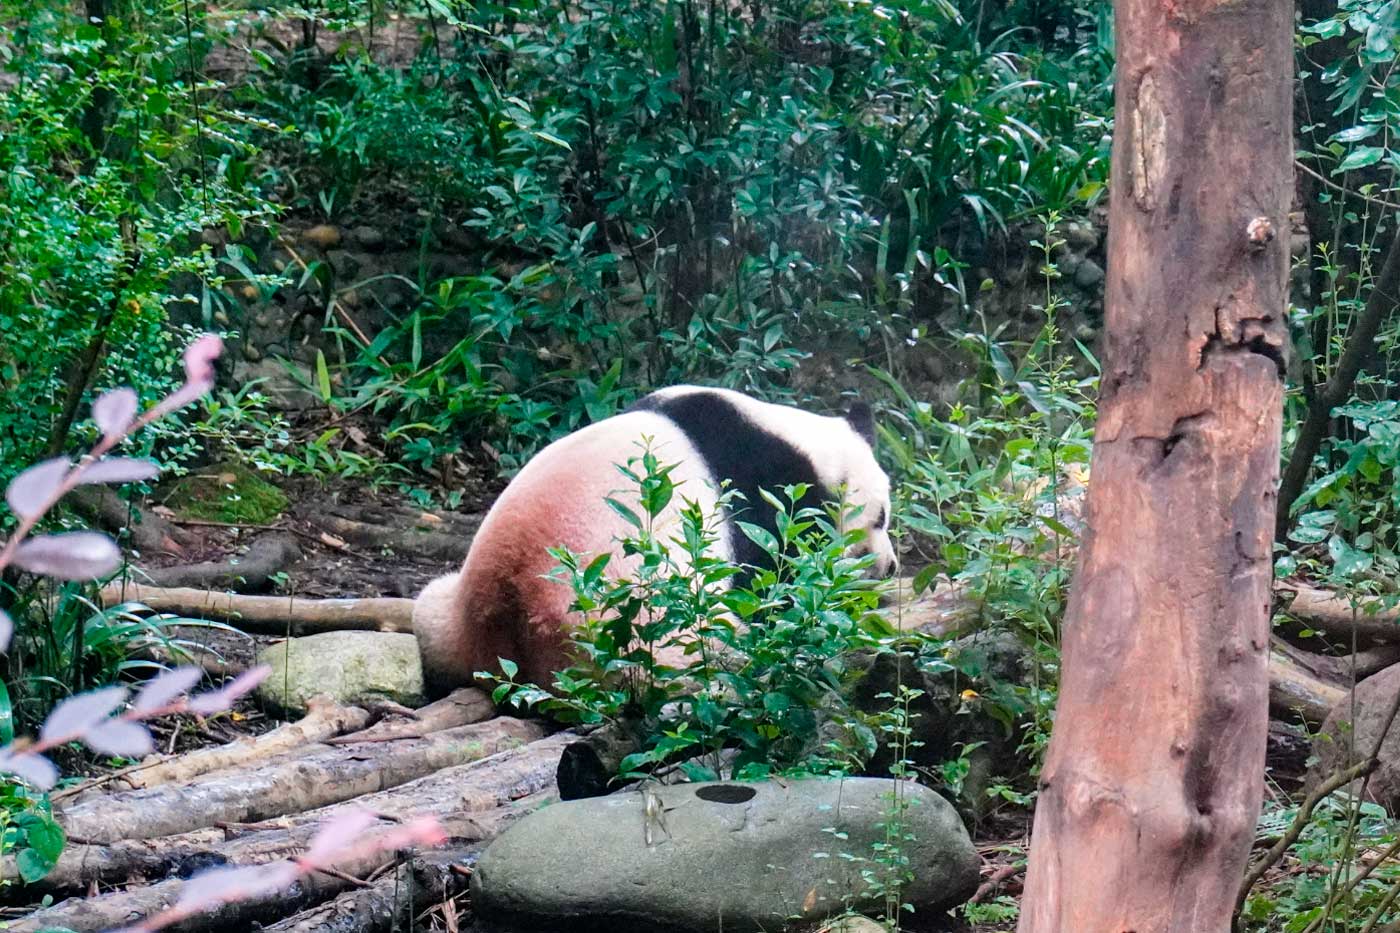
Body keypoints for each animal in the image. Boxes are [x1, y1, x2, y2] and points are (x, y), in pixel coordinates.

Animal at [412, 386, 896, 695]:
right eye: (882, 517)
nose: (891, 566)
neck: (811, 446)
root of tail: (506, 609)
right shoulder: (764, 488)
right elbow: (777, 571)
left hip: (448, 612)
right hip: (633, 632)